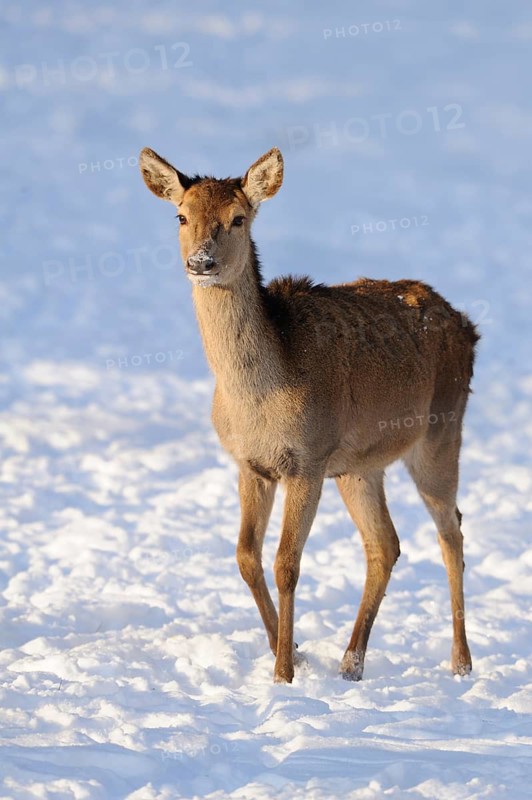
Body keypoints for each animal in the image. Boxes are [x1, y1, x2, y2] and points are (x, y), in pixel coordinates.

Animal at [139, 146, 479, 684]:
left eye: (239, 218)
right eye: (181, 216)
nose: (202, 262)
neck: (255, 401)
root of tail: (469, 327)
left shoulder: (308, 460)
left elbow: (286, 564)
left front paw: (283, 672)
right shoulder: (251, 464)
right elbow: (245, 556)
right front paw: (290, 648)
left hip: (441, 432)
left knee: (452, 533)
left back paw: (461, 662)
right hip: (361, 466)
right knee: (386, 544)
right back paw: (351, 661)